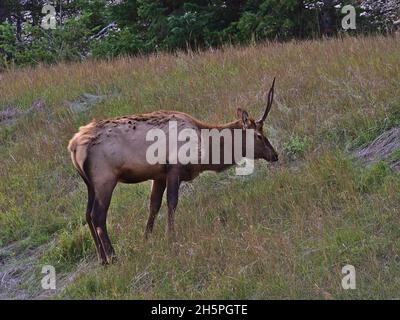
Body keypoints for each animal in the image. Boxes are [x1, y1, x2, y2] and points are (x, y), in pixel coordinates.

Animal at [68, 79, 278, 264]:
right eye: (259, 135)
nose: (275, 155)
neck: (205, 151)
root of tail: (73, 145)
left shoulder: (159, 175)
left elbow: (154, 205)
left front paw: (147, 238)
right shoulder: (174, 169)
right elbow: (172, 203)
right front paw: (171, 237)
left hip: (90, 184)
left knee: (87, 215)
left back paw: (102, 259)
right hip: (105, 179)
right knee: (98, 216)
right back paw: (112, 256)